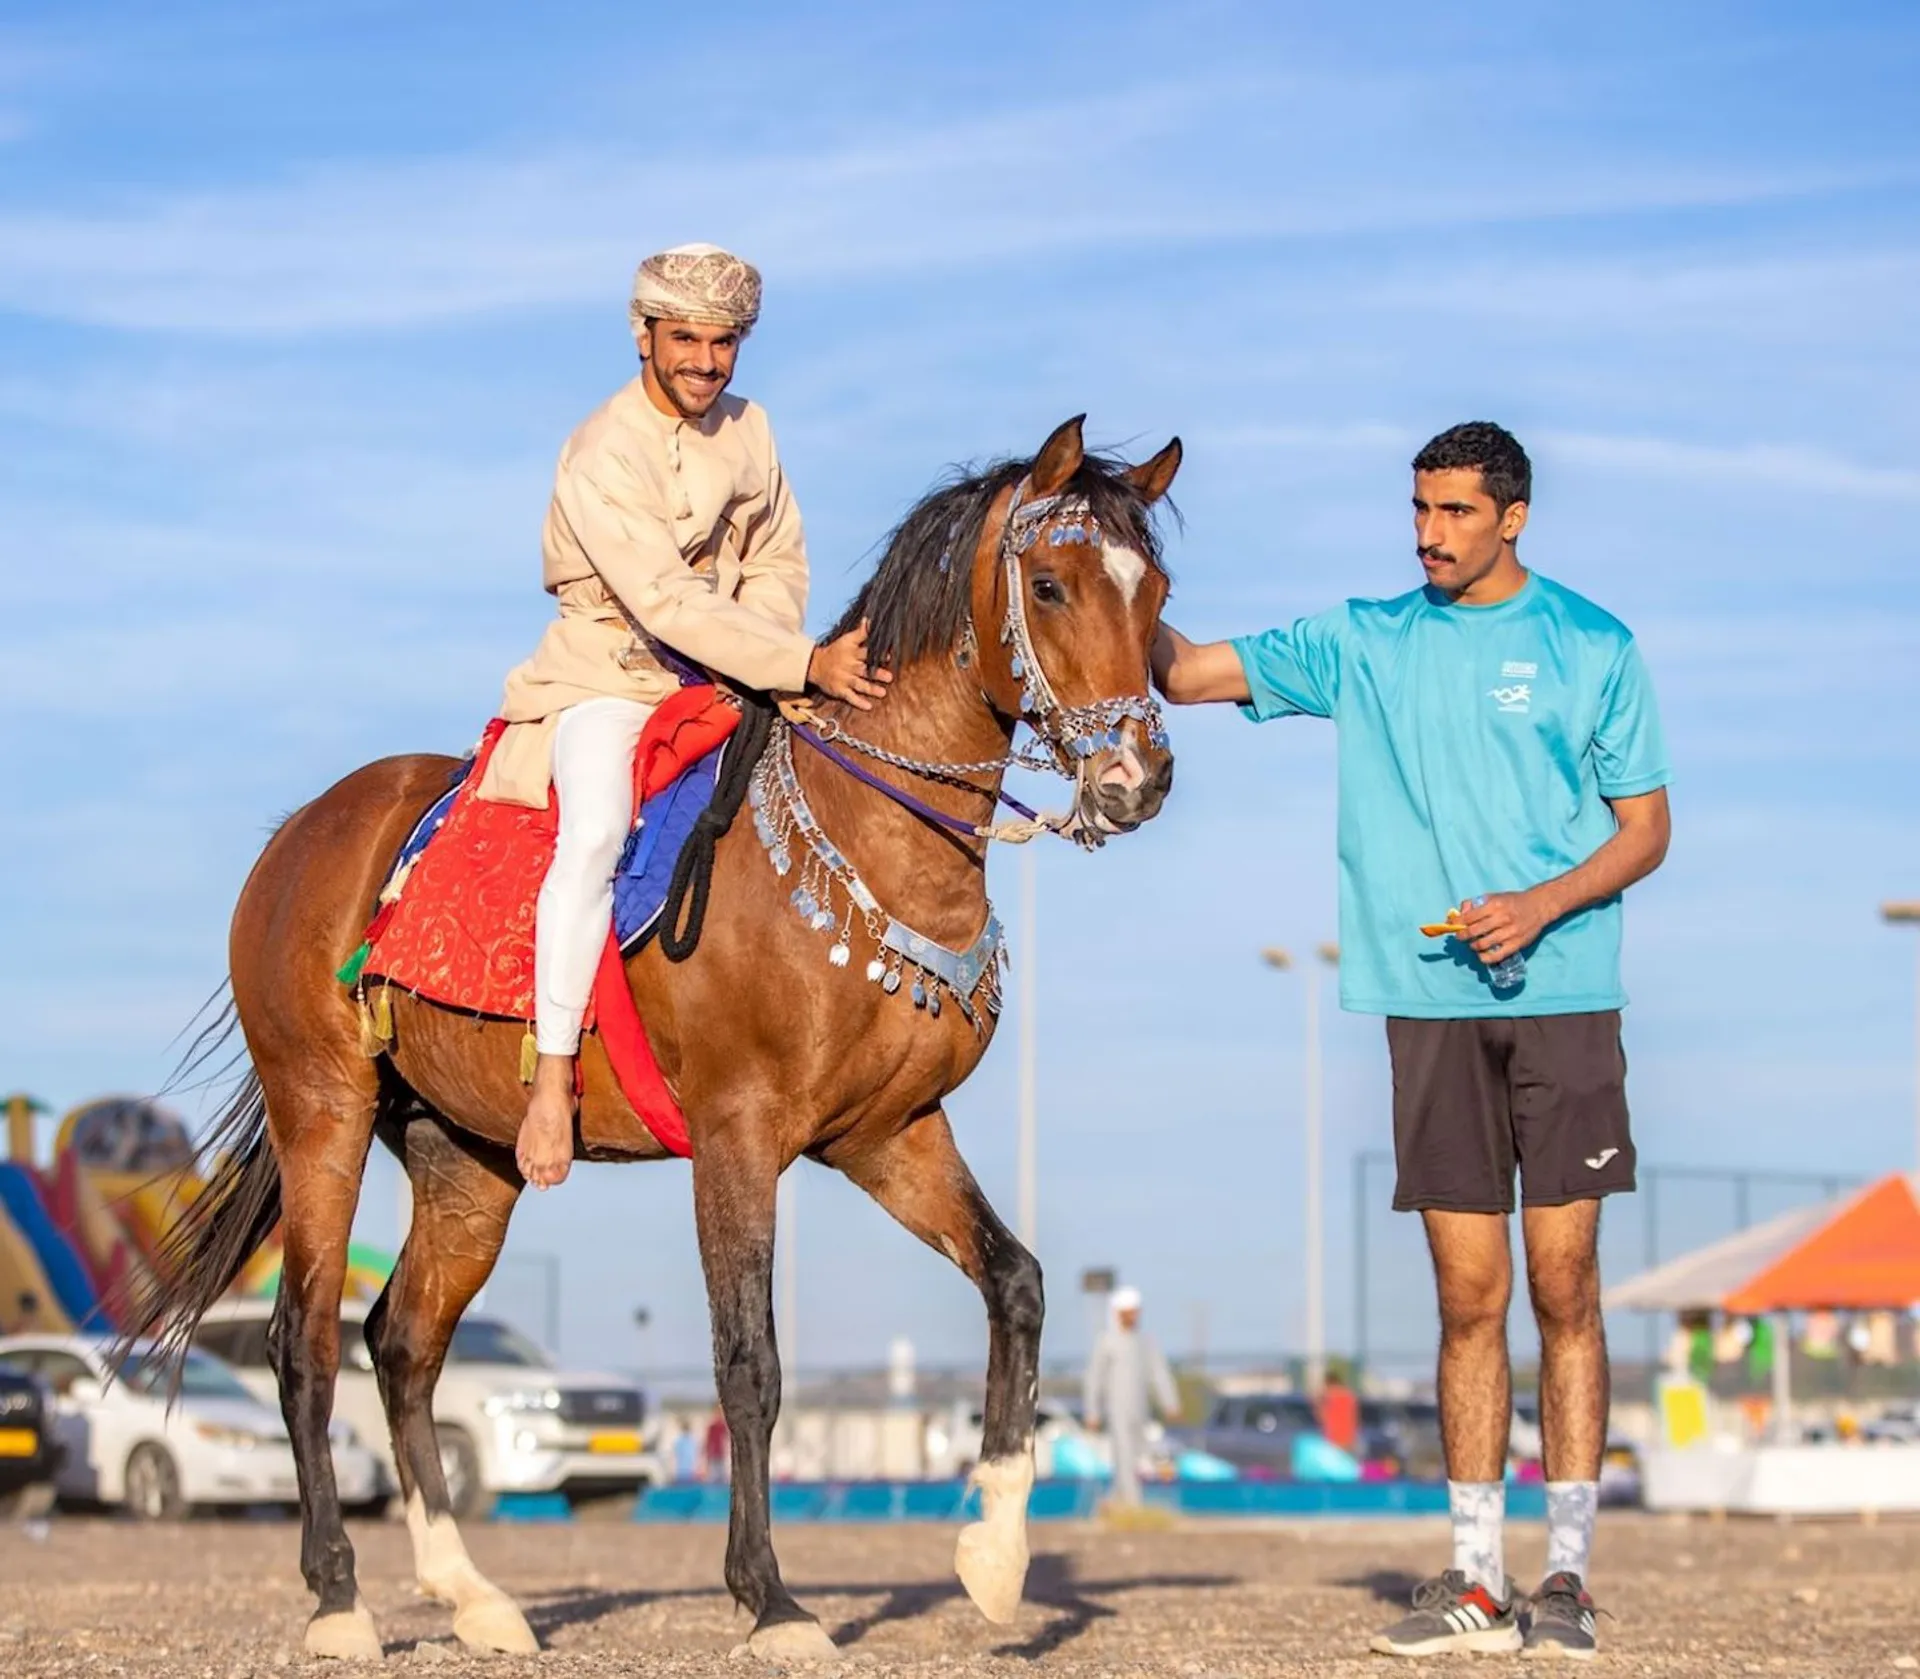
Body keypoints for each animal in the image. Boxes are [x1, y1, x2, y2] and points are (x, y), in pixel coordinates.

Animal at [129, 414, 1180, 1661]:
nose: (1139, 777)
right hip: (323, 1115)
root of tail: (303, 833)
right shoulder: (738, 1135)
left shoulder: (890, 1134)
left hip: (464, 1161)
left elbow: (1016, 1283)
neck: (864, 831)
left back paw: (470, 1592)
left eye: (1156, 592)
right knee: (306, 1342)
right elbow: (749, 1362)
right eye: (1053, 584)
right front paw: (770, 1597)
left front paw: (995, 1553)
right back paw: (340, 1596)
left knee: (403, 1341)